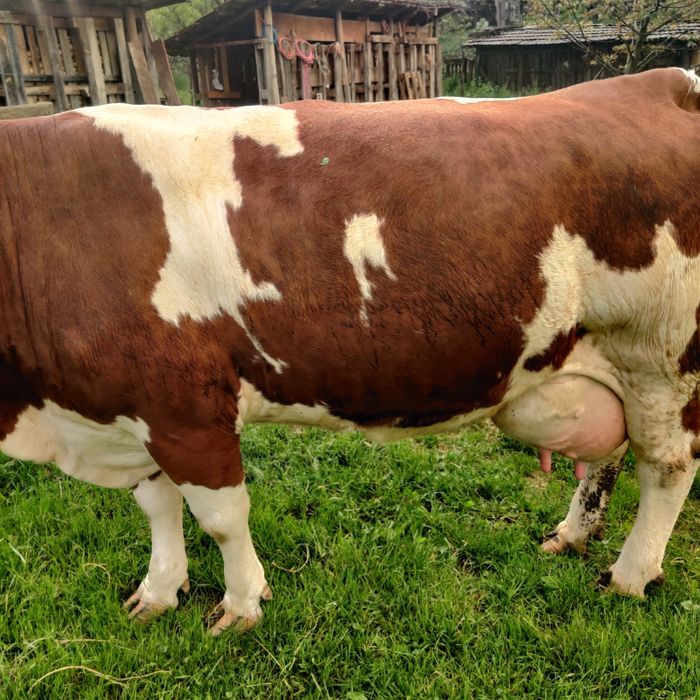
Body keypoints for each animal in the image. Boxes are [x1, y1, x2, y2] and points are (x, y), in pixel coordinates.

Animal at [0, 67, 698, 636]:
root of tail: (662, 82)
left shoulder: (187, 406)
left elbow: (221, 516)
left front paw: (241, 604)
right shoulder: (128, 402)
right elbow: (157, 504)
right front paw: (158, 591)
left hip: (662, 359)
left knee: (665, 468)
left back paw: (630, 575)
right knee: (609, 455)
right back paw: (573, 535)